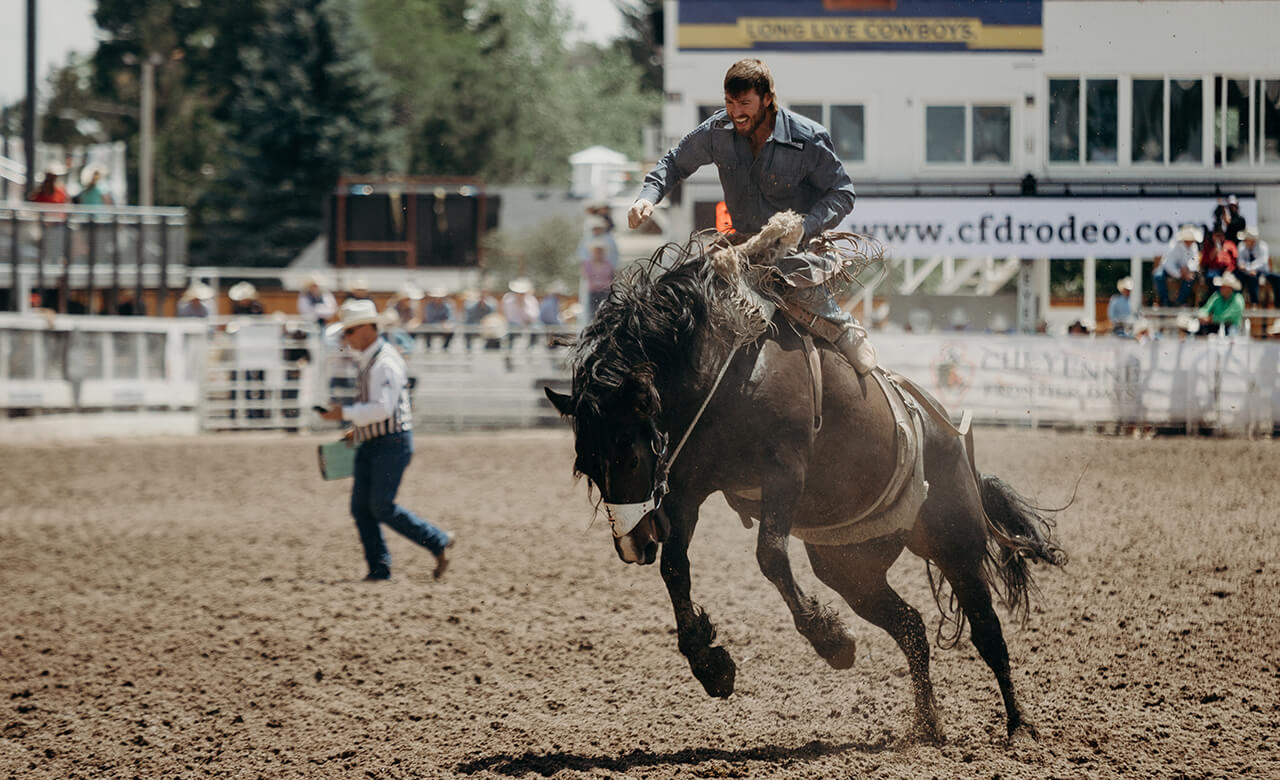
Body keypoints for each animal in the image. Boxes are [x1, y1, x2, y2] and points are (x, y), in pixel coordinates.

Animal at [545, 236, 1064, 742]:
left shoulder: (784, 472)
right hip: (851, 566)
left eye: (629, 456)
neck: (726, 370)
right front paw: (711, 666)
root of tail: (950, 433)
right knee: (911, 626)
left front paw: (831, 642)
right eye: (585, 467)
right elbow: (675, 569)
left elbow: (770, 554)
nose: (631, 545)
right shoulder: (687, 490)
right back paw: (927, 725)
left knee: (987, 631)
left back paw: (1019, 728)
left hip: (956, 542)